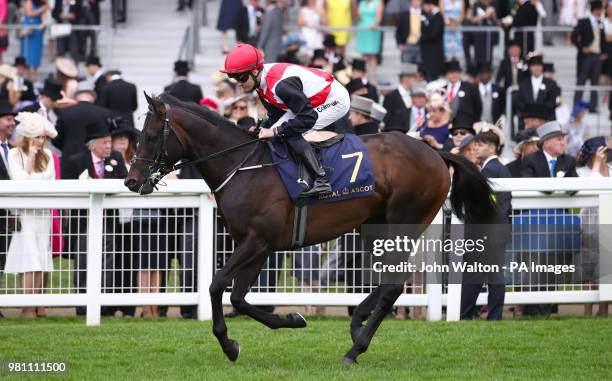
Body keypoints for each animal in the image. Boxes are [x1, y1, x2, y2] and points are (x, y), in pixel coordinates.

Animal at [125, 92, 498, 362]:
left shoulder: (256, 242)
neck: (243, 166)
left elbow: (217, 285)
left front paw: (230, 345)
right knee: (386, 281)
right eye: (139, 135)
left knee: (394, 283)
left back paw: (355, 348)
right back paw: (357, 323)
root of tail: (436, 154)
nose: (131, 181)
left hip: (403, 223)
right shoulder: (258, 244)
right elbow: (239, 297)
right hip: (373, 226)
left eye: (152, 135)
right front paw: (291, 320)